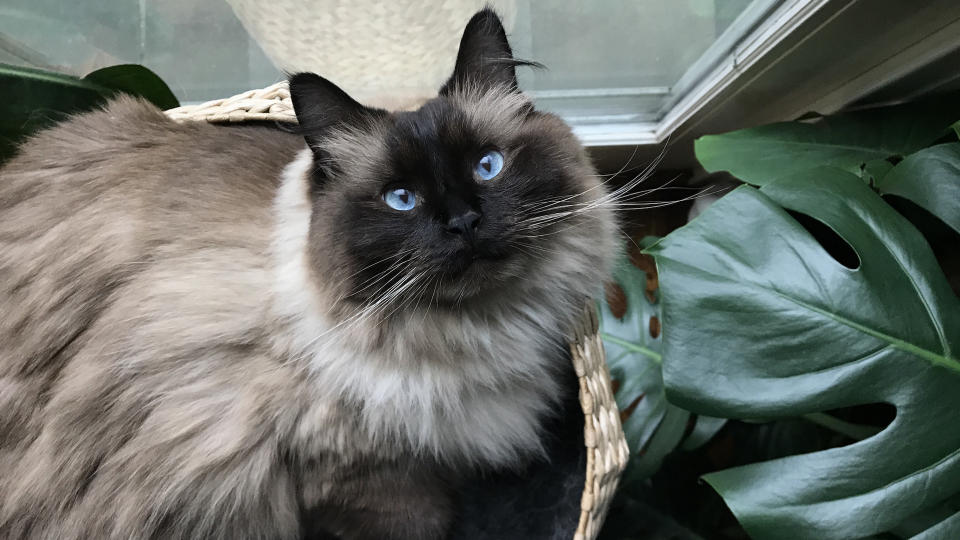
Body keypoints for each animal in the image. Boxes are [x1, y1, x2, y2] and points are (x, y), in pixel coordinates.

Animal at [0, 8, 616, 540]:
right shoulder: (353, 472)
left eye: (487, 166)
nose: (463, 223)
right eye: (401, 199)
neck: (471, 333)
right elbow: (425, 519)